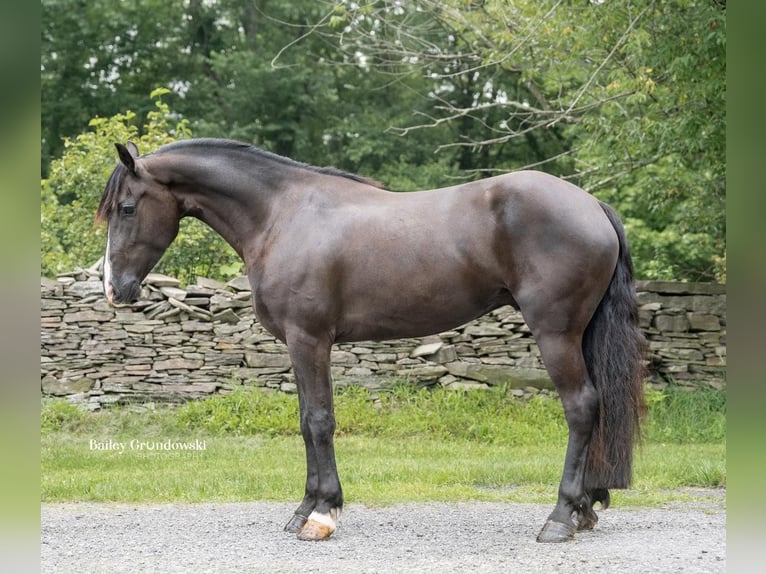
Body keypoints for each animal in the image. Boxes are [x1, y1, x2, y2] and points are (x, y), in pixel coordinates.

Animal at [97, 140, 648, 544]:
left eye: (126, 207)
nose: (113, 289)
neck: (282, 214)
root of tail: (591, 204)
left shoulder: (308, 340)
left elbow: (319, 422)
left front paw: (322, 515)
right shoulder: (300, 345)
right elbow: (307, 421)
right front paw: (305, 508)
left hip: (555, 333)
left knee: (581, 407)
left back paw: (559, 517)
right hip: (579, 334)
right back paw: (586, 508)